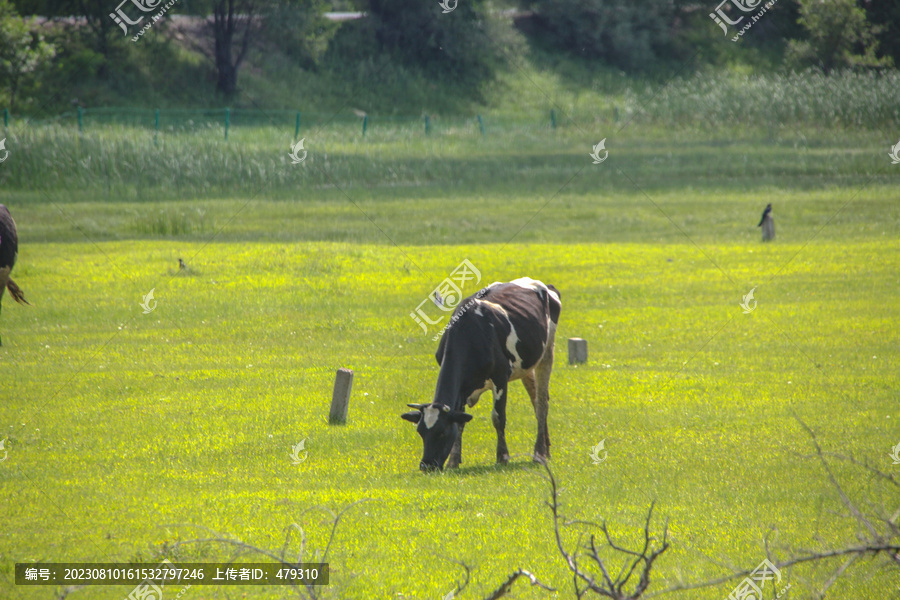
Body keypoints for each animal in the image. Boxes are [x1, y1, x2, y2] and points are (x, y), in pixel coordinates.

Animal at [402, 278, 560, 472]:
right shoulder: (462, 389)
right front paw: (453, 461)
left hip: (547, 353)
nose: (426, 465)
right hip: (527, 365)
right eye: (420, 432)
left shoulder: (500, 377)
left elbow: (498, 417)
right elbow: (460, 422)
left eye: (442, 432)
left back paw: (539, 453)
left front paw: (502, 457)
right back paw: (546, 449)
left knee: (542, 403)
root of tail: (542, 284)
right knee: (535, 400)